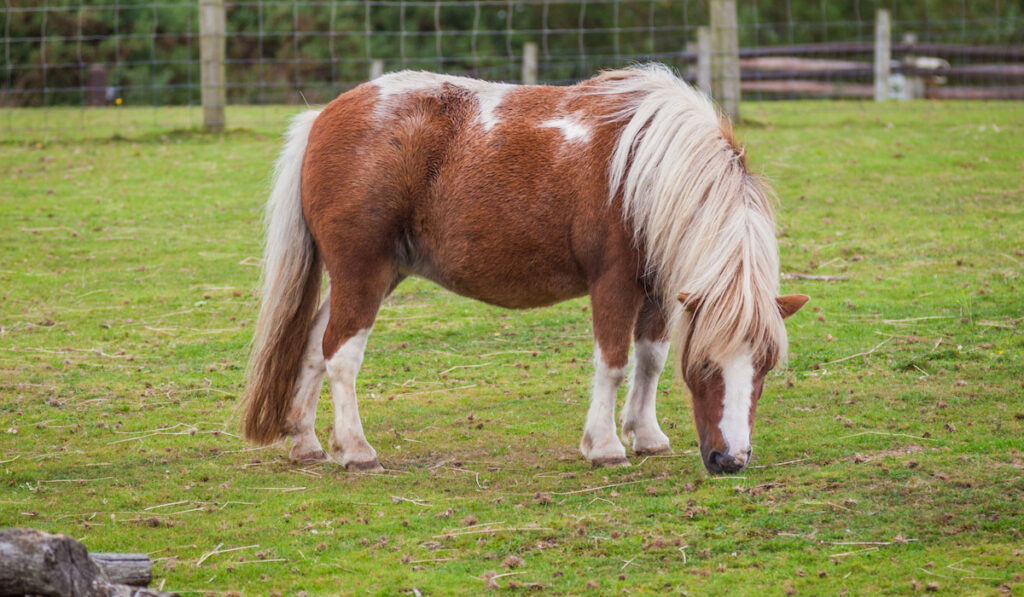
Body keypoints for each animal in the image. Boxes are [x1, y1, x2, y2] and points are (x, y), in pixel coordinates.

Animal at [239, 65, 806, 477]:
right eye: (707, 364)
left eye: (765, 366)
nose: (730, 460)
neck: (643, 167)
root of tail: (321, 118)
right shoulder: (614, 284)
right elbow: (614, 362)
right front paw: (604, 446)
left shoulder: (660, 291)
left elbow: (650, 362)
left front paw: (646, 436)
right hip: (363, 272)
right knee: (341, 354)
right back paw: (356, 450)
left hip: (374, 275)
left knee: (315, 345)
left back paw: (309, 443)